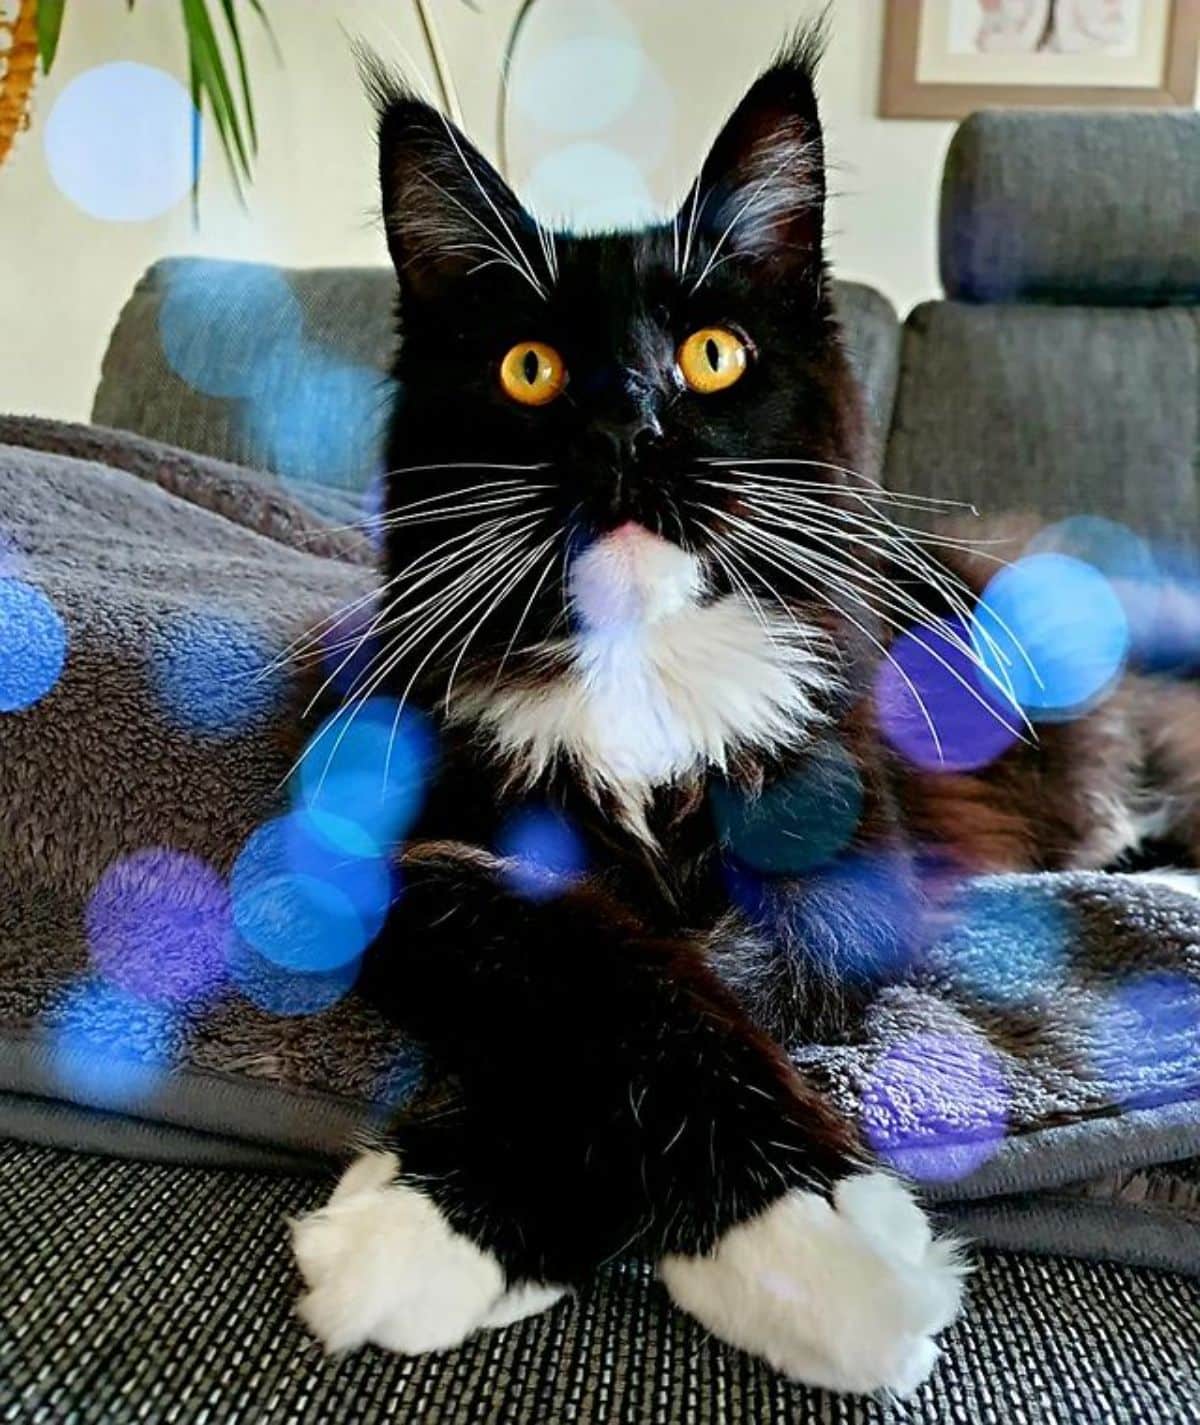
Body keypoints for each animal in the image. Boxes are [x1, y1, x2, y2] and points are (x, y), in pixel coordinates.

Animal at [285, 30, 1054, 1390]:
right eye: (530, 370)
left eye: (711, 356)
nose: (629, 428)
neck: (642, 670)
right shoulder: (411, 840)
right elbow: (602, 962)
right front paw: (443, 1217)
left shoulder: (846, 843)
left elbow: (734, 968)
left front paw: (810, 1241)